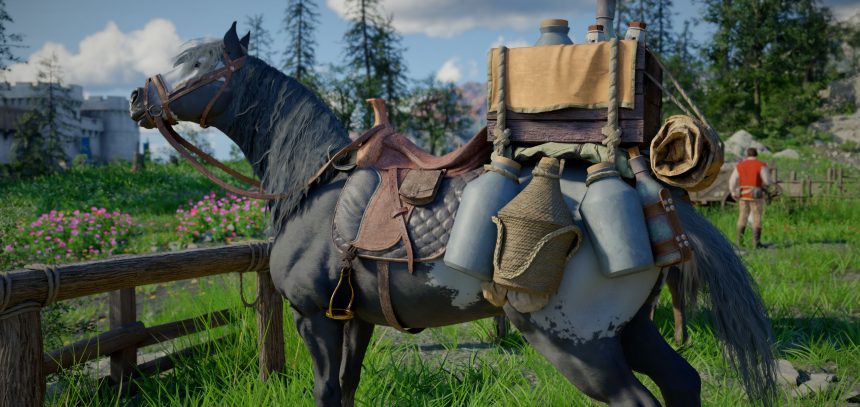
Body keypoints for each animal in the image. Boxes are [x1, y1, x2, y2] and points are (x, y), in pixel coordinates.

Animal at [129, 23, 776, 406]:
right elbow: (345, 390)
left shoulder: (315, 319)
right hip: (631, 329)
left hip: (579, 346)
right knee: (683, 382)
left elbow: (325, 393)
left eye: (196, 65)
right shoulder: (355, 319)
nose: (137, 96)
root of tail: (655, 201)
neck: (315, 186)